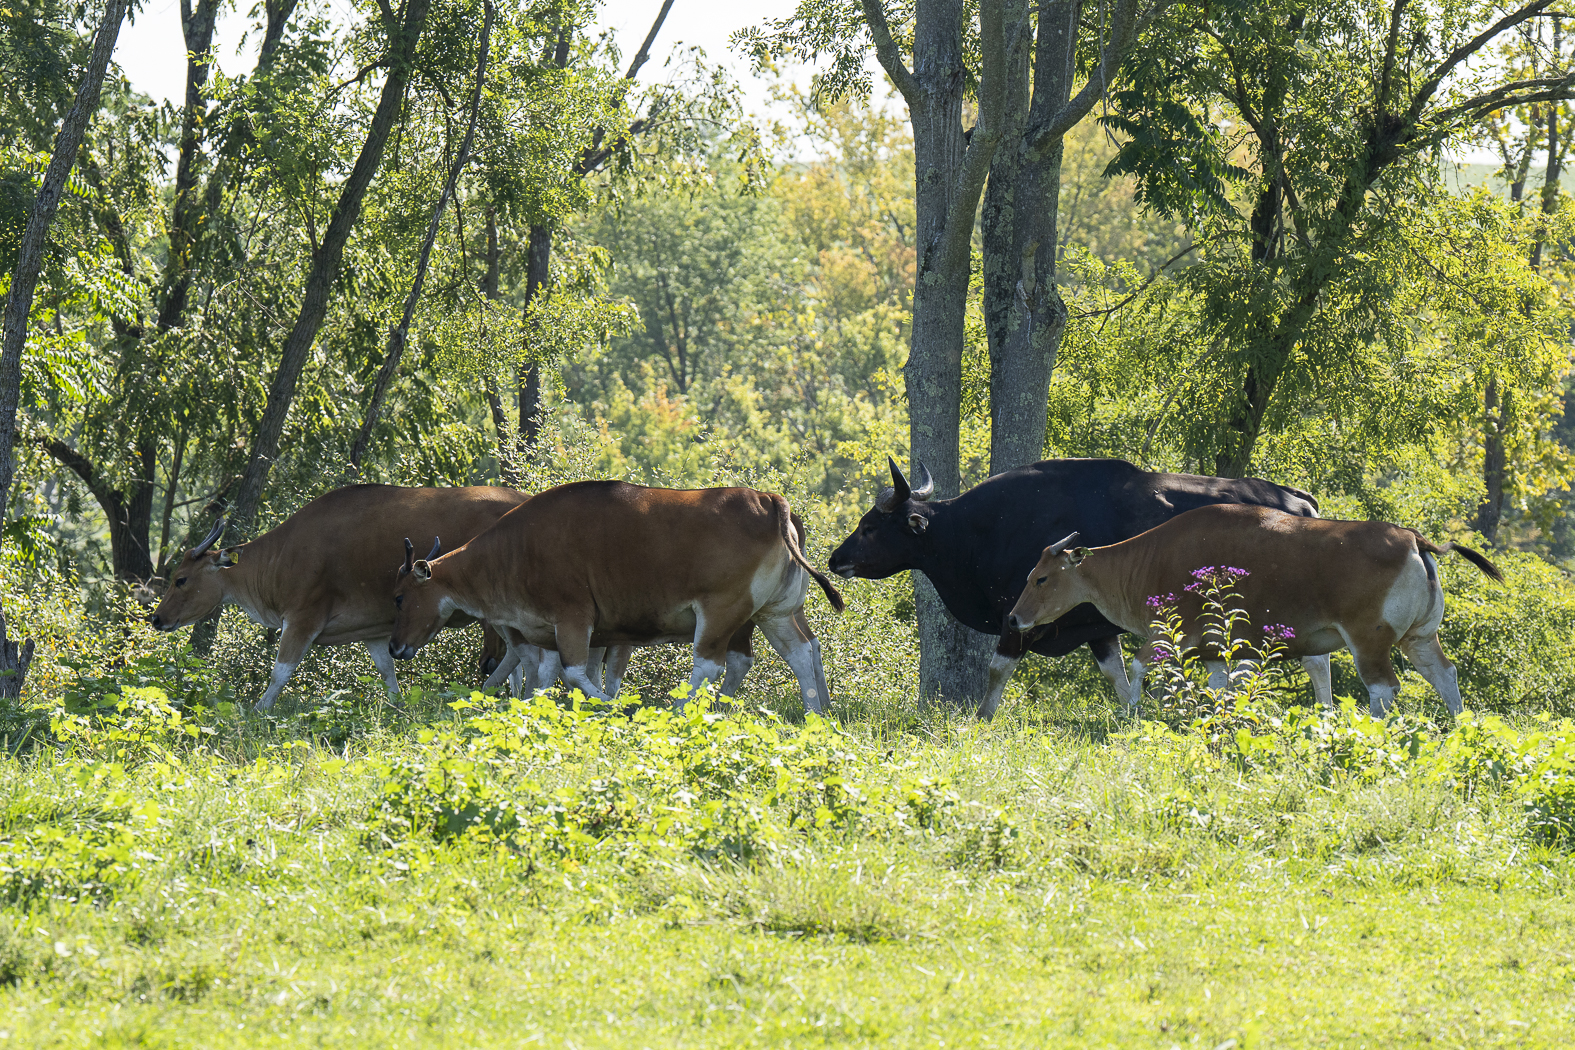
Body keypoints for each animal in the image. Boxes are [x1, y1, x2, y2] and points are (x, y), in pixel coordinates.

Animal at [831, 456, 1323, 717]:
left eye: (870, 526)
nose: (836, 559)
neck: (978, 530)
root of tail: (1299, 500)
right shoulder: (1096, 627)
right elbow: (1117, 677)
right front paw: (1133, 718)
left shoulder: (1018, 617)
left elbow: (996, 670)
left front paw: (982, 719)